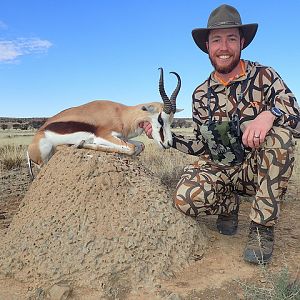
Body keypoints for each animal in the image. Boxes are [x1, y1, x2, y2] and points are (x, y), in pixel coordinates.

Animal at [27, 68, 183, 178]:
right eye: (160, 119)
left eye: (171, 120)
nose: (169, 143)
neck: (121, 114)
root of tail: (30, 146)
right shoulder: (103, 136)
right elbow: (131, 148)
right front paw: (83, 144)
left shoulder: (121, 137)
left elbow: (139, 146)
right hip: (44, 159)